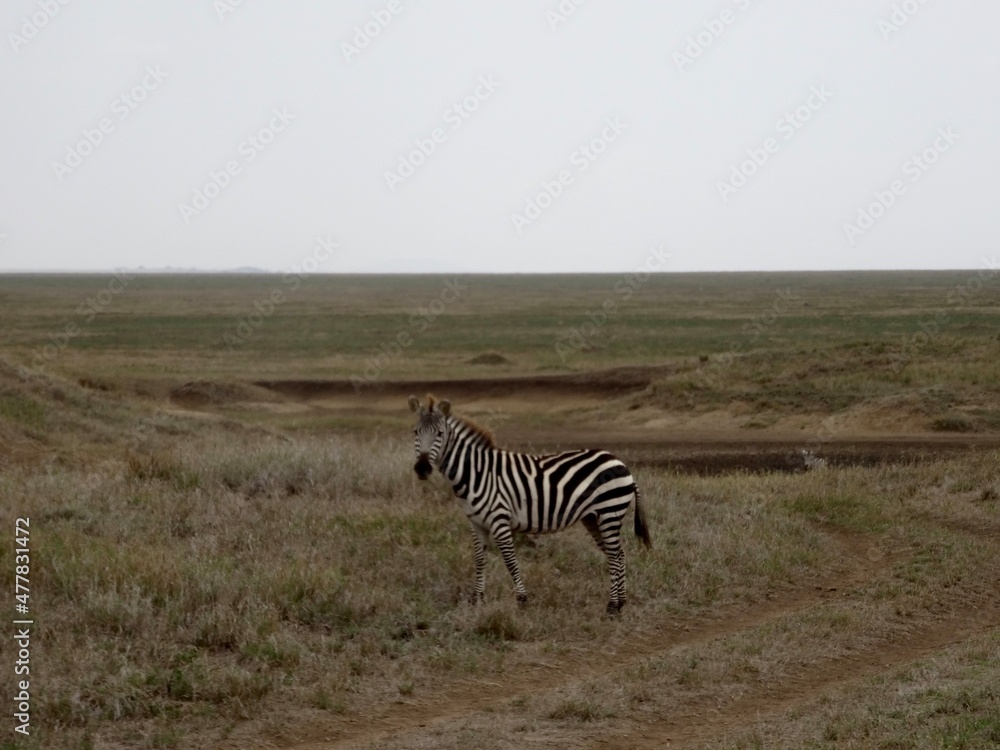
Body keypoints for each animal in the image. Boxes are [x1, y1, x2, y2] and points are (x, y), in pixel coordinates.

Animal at [409, 395, 652, 615]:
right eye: (415, 433)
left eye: (440, 434)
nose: (422, 468)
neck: (475, 473)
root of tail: (621, 463)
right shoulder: (476, 523)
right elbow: (479, 560)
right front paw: (477, 599)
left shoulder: (499, 519)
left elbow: (510, 560)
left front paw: (522, 600)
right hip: (593, 518)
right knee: (617, 555)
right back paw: (620, 603)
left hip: (609, 512)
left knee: (616, 556)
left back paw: (613, 606)